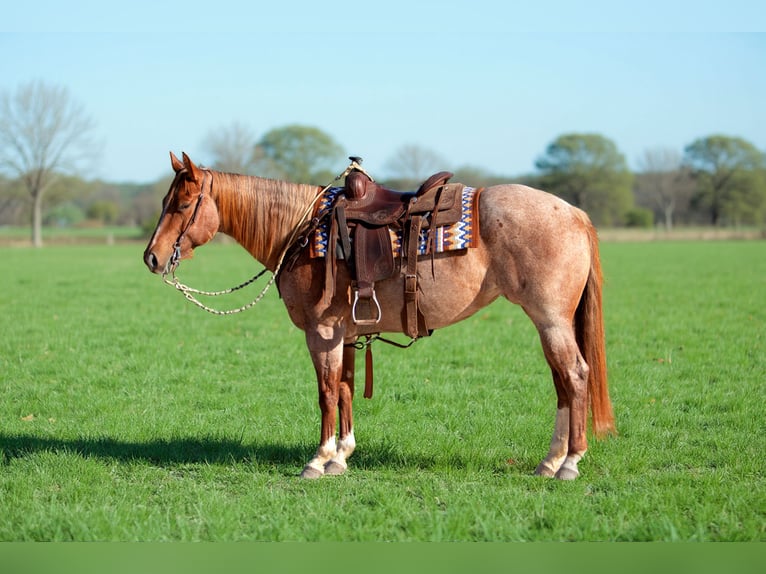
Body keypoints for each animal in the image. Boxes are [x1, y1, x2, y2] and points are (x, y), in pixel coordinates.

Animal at [143, 152, 615, 480]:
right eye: (165, 200)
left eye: (182, 205)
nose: (152, 257)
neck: (303, 230)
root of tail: (575, 213)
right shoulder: (345, 331)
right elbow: (346, 388)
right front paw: (341, 456)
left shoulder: (321, 331)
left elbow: (326, 392)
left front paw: (318, 460)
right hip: (550, 322)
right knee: (562, 383)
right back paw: (550, 461)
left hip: (551, 319)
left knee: (575, 376)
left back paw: (570, 463)